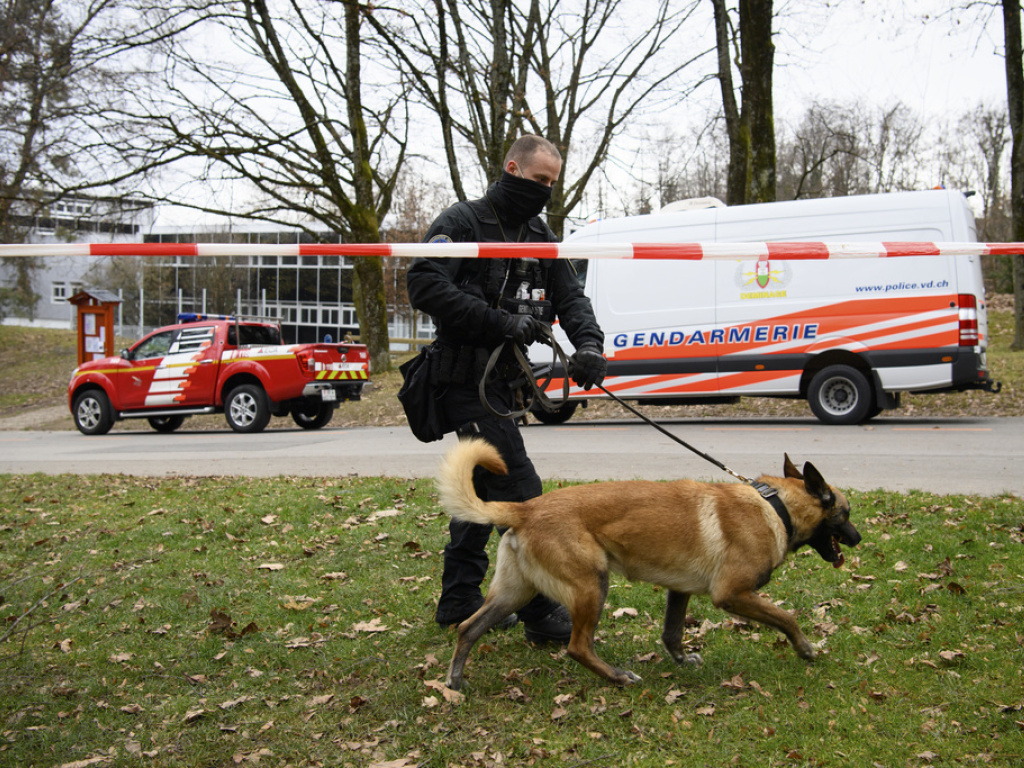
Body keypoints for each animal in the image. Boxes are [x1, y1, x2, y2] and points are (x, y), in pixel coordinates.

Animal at [436, 438, 860, 692]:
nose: (858, 539)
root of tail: (524, 509)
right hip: (592, 586)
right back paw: (618, 677)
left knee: (468, 628)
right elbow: (787, 618)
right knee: (577, 647)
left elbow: (672, 633)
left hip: (515, 593)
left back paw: (455, 681)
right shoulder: (734, 594)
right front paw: (806, 649)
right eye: (845, 513)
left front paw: (683, 660)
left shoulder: (680, 591)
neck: (776, 506)